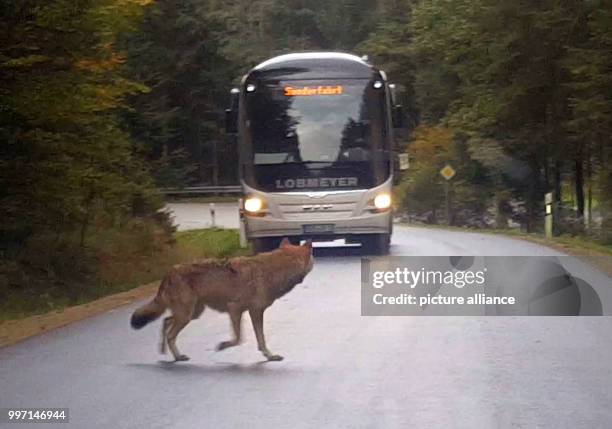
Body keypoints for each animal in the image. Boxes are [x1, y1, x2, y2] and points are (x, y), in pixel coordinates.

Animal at [128, 237, 310, 362]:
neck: (273, 271)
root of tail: (169, 272)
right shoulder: (236, 309)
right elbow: (239, 339)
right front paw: (222, 346)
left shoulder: (253, 312)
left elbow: (260, 339)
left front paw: (270, 356)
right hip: (187, 315)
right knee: (170, 333)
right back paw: (177, 356)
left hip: (192, 314)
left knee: (165, 321)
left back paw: (165, 351)